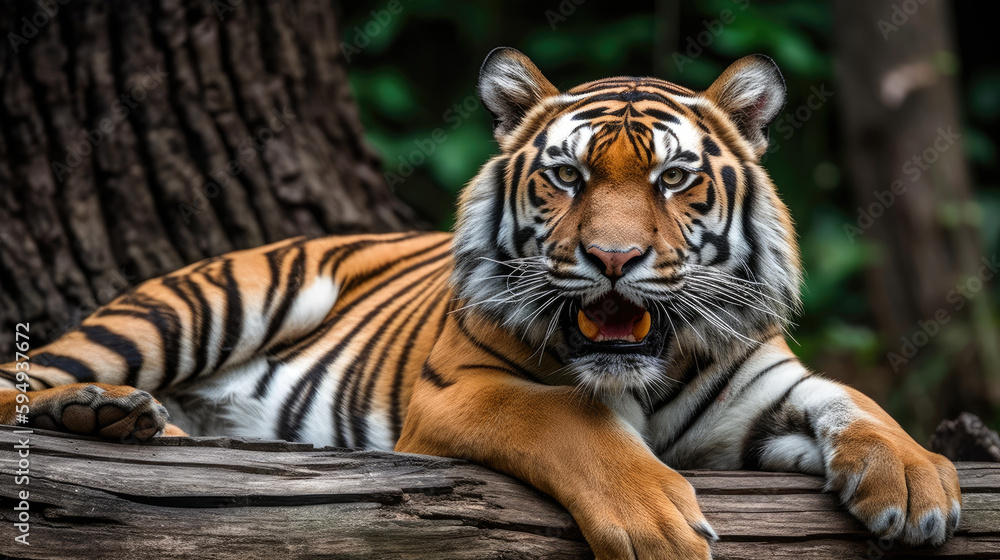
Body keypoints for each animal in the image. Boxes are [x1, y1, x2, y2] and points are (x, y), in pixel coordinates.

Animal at [0, 48, 960, 559]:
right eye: (567, 177)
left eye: (672, 179)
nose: (615, 258)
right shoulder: (460, 391)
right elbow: (572, 423)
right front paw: (657, 523)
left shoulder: (762, 390)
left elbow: (856, 401)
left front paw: (919, 485)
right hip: (200, 305)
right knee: (26, 373)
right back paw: (101, 410)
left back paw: (141, 424)